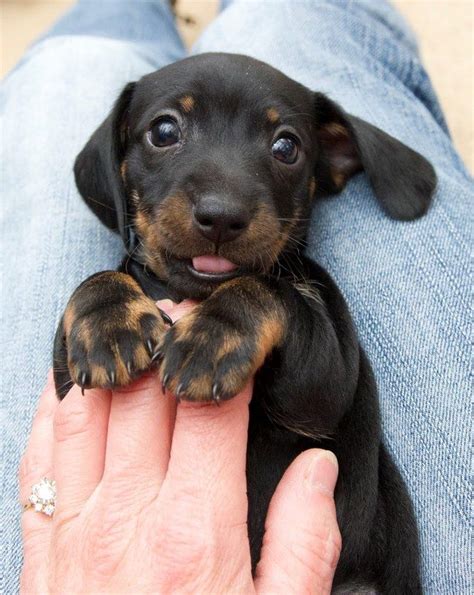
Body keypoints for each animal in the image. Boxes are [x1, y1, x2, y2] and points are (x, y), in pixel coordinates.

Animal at [53, 53, 436, 592]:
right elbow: (98, 280)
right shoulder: (66, 381)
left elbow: (266, 289)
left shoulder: (326, 382)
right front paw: (110, 323)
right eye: (164, 131)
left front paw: (213, 337)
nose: (221, 216)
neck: (193, 292)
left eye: (286, 147)